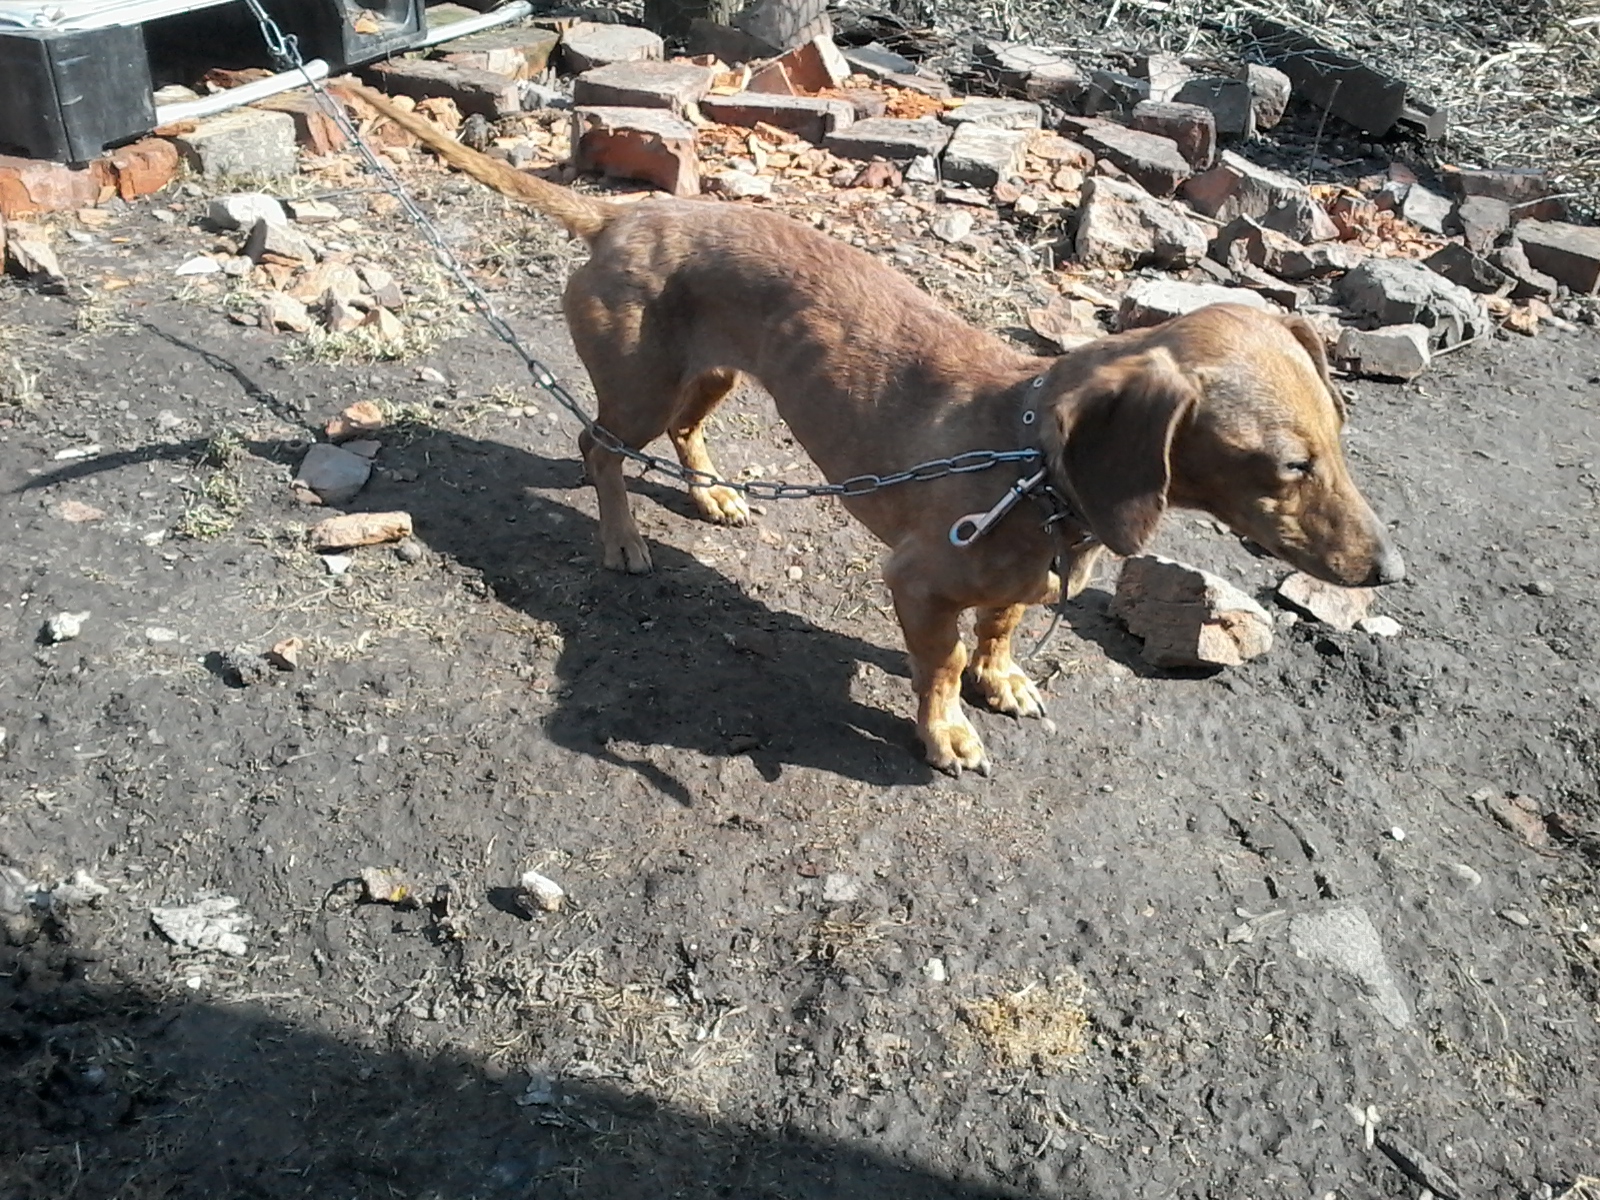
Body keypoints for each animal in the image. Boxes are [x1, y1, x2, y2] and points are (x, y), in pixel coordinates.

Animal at [339, 83, 1405, 776]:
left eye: (1341, 445)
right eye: (1287, 465)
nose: (1389, 571)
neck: (1033, 465)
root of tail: (622, 215)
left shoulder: (1013, 586)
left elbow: (1001, 630)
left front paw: (1001, 681)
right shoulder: (918, 585)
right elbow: (939, 670)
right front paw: (947, 734)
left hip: (712, 376)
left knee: (681, 437)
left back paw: (712, 494)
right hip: (637, 389)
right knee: (595, 451)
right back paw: (624, 541)